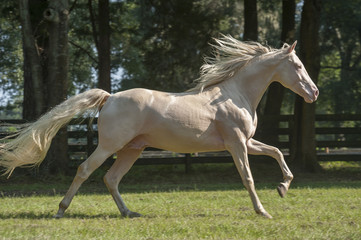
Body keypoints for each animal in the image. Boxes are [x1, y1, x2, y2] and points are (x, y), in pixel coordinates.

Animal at [0, 35, 316, 218]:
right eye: (298, 66)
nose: (314, 93)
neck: (235, 94)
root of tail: (109, 97)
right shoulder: (237, 144)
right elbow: (248, 177)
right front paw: (263, 211)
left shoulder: (247, 141)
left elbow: (276, 152)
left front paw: (283, 187)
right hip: (111, 145)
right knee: (86, 170)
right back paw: (61, 211)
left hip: (132, 150)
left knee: (111, 178)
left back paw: (129, 213)